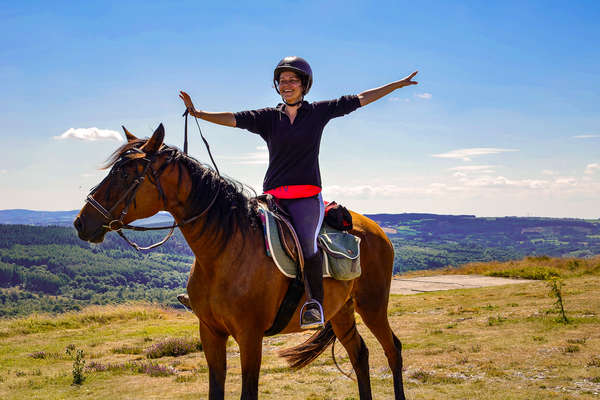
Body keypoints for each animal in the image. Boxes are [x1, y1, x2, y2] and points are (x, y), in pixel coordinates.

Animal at [72, 123, 406, 398]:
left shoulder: (250, 337)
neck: (223, 252)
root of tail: (377, 229)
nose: (81, 222)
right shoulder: (210, 333)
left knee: (393, 350)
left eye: (125, 174)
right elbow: (215, 389)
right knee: (359, 354)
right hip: (341, 311)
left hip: (372, 306)